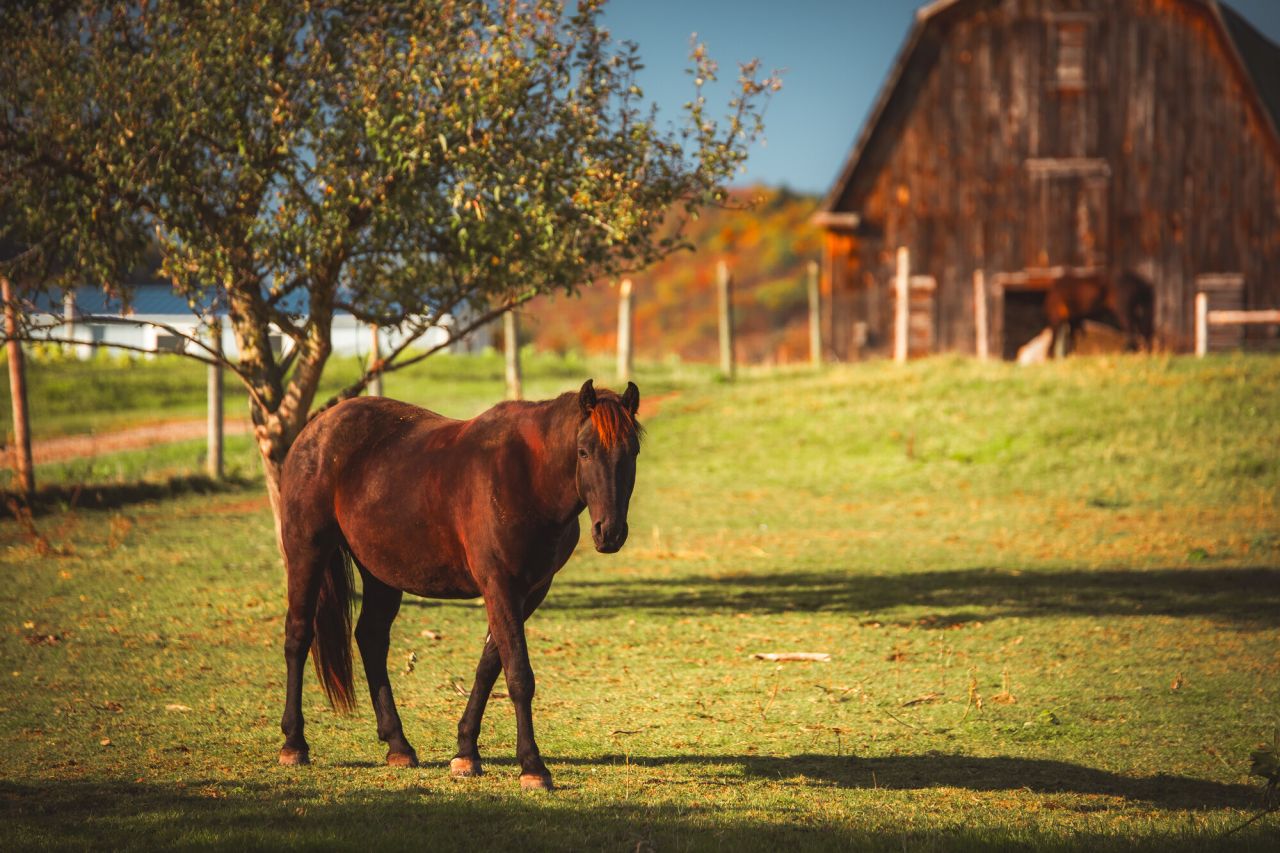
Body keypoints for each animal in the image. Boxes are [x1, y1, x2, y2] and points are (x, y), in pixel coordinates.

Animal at [276, 379, 641, 791]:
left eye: (633, 452)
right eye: (583, 451)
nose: (609, 532)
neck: (526, 478)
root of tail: (316, 429)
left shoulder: (530, 591)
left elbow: (489, 666)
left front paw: (466, 751)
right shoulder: (500, 586)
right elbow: (519, 675)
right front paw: (533, 766)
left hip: (381, 572)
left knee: (371, 638)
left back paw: (398, 745)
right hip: (307, 551)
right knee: (298, 636)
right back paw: (294, 744)